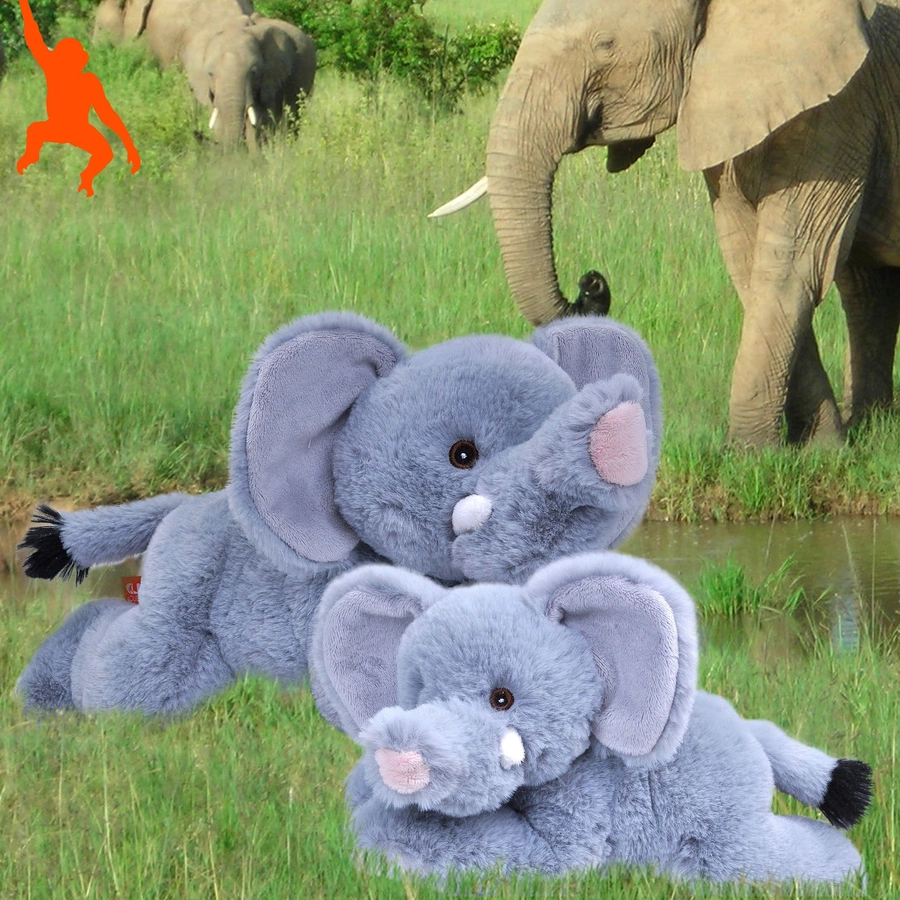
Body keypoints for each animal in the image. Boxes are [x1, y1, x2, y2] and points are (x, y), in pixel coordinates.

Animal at [434, 0, 900, 447]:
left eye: (605, 45)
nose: (591, 282)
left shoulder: (841, 107)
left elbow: (792, 266)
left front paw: (749, 453)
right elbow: (745, 260)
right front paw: (823, 448)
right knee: (865, 288)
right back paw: (871, 429)